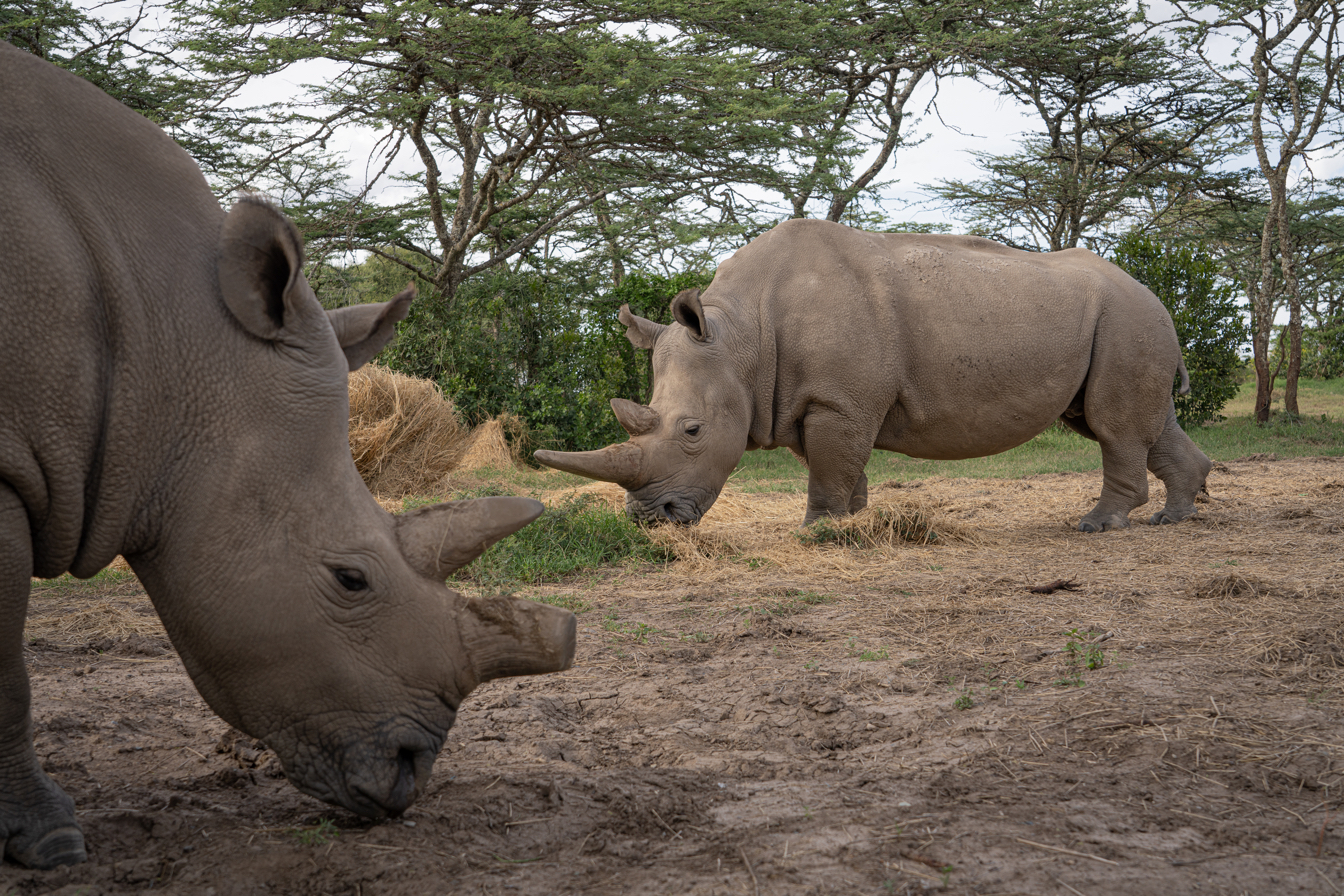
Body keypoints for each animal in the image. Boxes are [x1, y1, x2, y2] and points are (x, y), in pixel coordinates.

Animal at [537, 217, 1220, 531]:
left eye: (693, 432)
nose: (650, 520)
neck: (740, 339)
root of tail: (1154, 296)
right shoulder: (810, 400)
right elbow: (836, 464)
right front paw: (854, 522)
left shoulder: (836, 400)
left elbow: (830, 467)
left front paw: (818, 530)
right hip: (1127, 321)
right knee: (1133, 420)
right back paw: (1175, 518)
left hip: (1127, 317)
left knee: (1111, 425)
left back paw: (1098, 526)